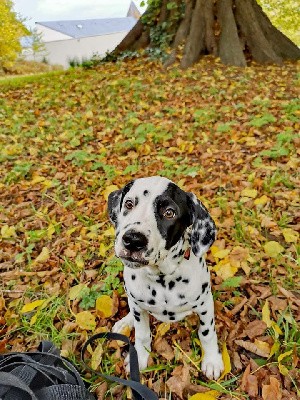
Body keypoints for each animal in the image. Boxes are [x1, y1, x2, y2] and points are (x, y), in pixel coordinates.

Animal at [109, 177, 224, 380]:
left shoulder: (204, 305)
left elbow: (207, 332)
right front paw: (139, 358)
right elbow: (142, 334)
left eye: (169, 212)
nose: (133, 240)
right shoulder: (138, 306)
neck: (162, 279)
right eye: (129, 204)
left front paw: (212, 360)